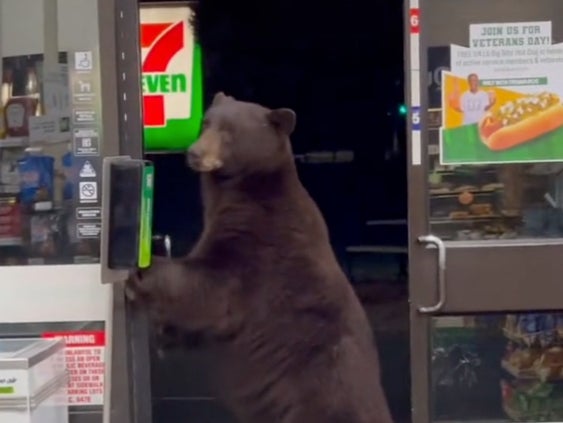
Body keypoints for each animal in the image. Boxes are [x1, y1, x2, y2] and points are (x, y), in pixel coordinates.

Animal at [126, 93, 394, 423]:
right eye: (206, 123)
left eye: (229, 132)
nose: (194, 153)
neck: (250, 188)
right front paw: (165, 333)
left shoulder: (261, 243)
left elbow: (214, 289)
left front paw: (141, 273)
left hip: (319, 399)